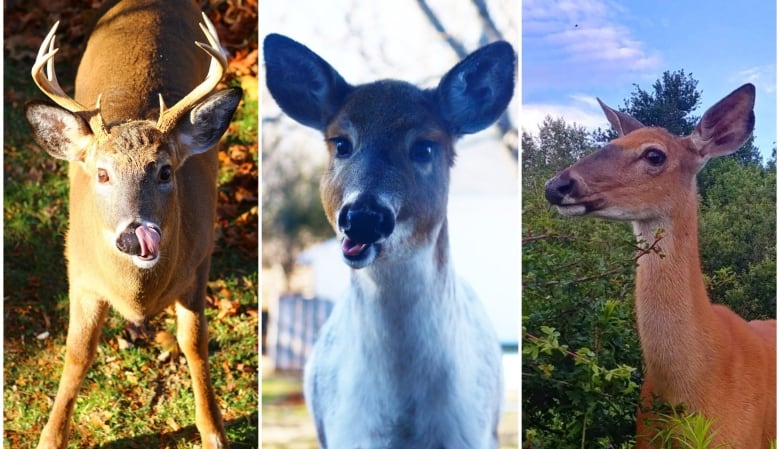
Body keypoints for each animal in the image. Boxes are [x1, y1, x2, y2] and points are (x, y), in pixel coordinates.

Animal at [24, 1, 241, 446]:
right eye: (102, 174)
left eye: (165, 171)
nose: (134, 236)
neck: (137, 297)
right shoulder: (80, 273)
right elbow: (77, 353)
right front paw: (51, 436)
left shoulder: (199, 262)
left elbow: (194, 343)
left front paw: (213, 431)